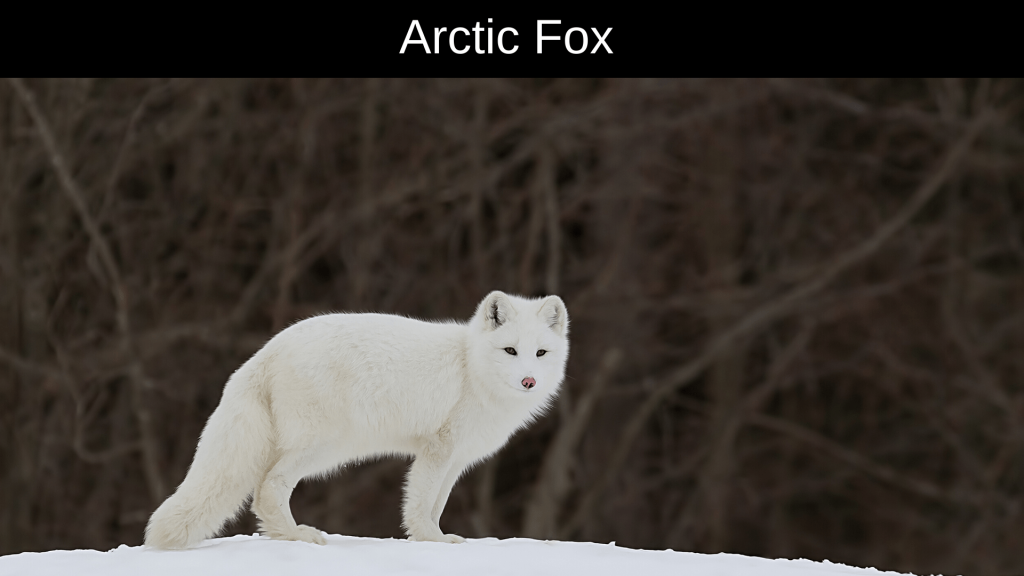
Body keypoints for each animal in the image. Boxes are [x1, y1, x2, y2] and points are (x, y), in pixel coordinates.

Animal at [144, 289, 569, 545]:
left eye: (540, 353)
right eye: (510, 350)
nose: (529, 381)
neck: (471, 368)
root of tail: (265, 352)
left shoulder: (457, 459)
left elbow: (436, 503)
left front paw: (434, 540)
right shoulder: (438, 450)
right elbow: (421, 504)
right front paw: (430, 540)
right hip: (322, 448)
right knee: (268, 488)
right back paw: (298, 536)